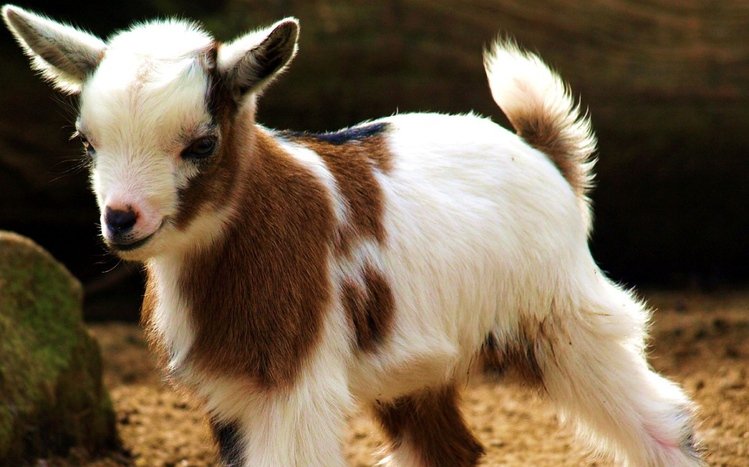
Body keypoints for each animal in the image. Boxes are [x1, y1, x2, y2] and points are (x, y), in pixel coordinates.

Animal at [3, 5, 703, 466]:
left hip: (564, 317)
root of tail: (546, 157)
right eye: (87, 144)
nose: (121, 220)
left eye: (201, 144)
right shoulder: (230, 390)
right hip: (420, 363)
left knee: (663, 420)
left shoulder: (292, 385)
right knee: (449, 448)